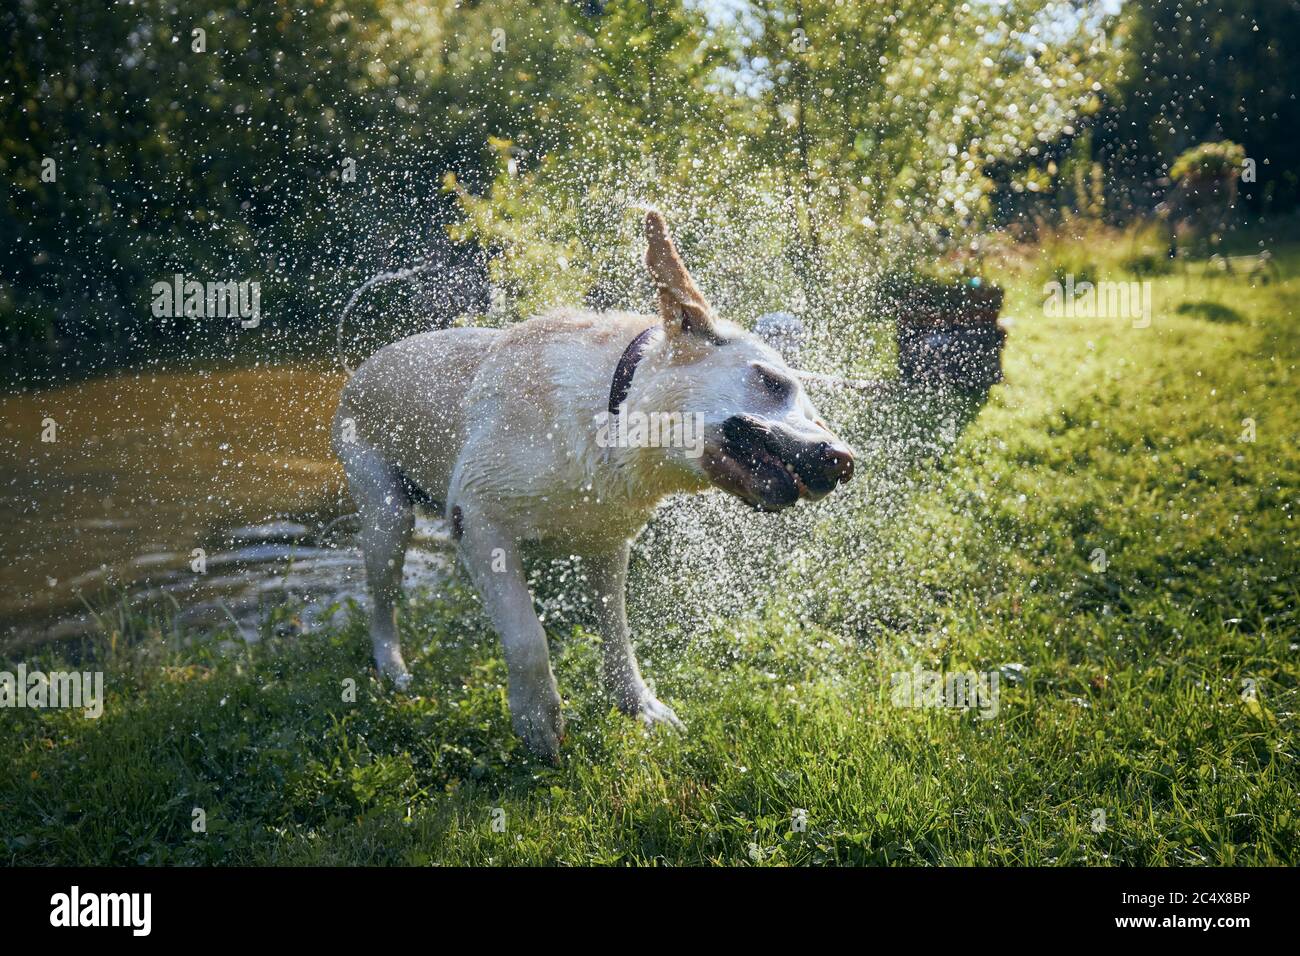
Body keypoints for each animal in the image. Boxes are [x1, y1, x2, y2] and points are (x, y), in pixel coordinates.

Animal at [335, 210, 852, 764]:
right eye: (772, 382)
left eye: (817, 414)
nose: (844, 461)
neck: (610, 416)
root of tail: (362, 364)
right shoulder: (477, 519)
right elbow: (526, 636)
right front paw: (538, 721)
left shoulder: (607, 543)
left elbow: (616, 630)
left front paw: (638, 705)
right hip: (387, 515)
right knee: (381, 602)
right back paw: (391, 666)